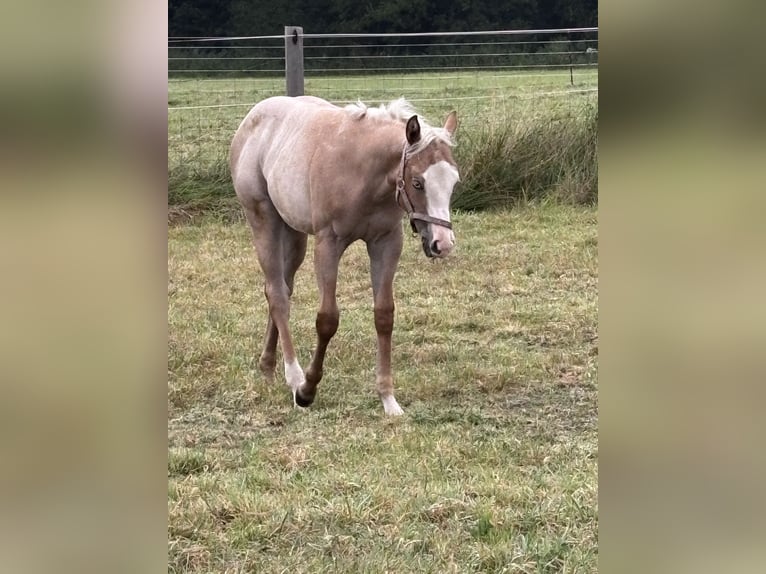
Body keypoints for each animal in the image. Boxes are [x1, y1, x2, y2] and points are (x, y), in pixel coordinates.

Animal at [229, 96, 459, 415]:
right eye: (417, 182)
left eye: (454, 182)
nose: (443, 243)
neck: (363, 173)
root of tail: (252, 117)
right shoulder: (328, 244)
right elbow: (327, 319)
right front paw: (307, 391)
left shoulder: (387, 242)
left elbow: (384, 315)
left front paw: (388, 399)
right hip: (263, 220)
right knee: (277, 294)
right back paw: (293, 377)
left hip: (294, 233)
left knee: (281, 289)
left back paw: (268, 366)